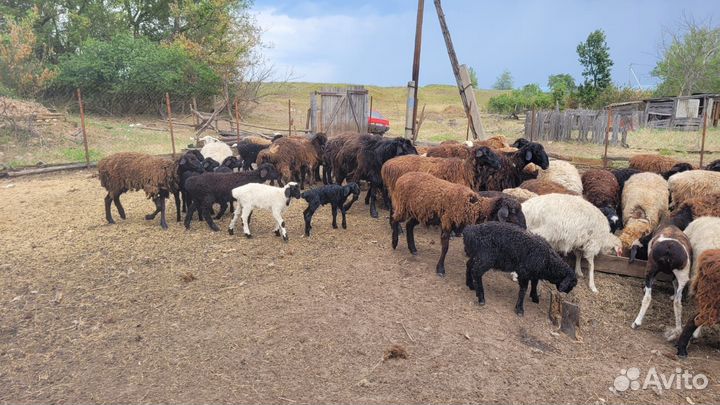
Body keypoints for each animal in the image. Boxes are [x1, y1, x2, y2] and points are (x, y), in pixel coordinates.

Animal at [390, 172, 526, 276]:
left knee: (409, 225)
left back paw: (413, 249)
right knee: (394, 219)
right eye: (513, 211)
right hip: (403, 206)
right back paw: (394, 242)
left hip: (421, 212)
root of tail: (402, 177)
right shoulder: (447, 223)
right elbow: (445, 248)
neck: (473, 205)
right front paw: (440, 269)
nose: (525, 227)